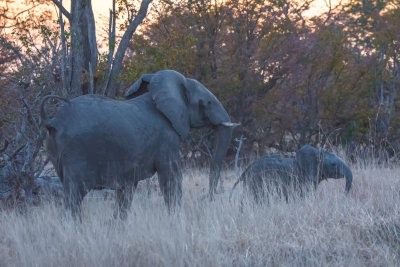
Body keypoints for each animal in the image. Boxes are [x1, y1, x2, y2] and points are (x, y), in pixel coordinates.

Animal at [40, 70, 238, 219]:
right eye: (207, 103)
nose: (209, 198)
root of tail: (53, 121)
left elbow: (126, 191)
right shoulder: (166, 138)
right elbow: (171, 177)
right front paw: (175, 221)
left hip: (55, 151)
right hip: (77, 152)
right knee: (74, 196)